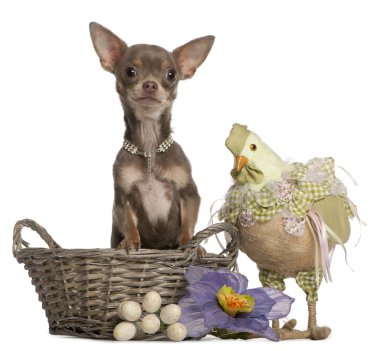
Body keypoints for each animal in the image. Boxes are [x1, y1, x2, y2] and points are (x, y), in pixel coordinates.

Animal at [88, 22, 214, 250]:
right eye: (130, 72)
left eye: (171, 74)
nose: (150, 84)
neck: (149, 149)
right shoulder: (122, 199)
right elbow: (128, 223)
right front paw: (130, 241)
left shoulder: (189, 193)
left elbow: (188, 223)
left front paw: (189, 244)